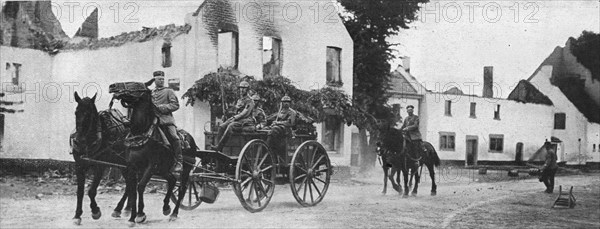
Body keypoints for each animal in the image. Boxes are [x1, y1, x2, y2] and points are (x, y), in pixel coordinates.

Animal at [71, 92, 132, 225]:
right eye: (76, 112)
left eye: (89, 114)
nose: (79, 141)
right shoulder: (79, 166)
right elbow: (80, 192)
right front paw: (77, 215)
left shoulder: (100, 166)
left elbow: (91, 191)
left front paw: (95, 211)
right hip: (123, 165)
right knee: (131, 183)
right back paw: (126, 208)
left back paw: (119, 208)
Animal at [110, 80, 197, 225]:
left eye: (135, 84)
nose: (112, 86)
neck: (140, 132)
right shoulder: (132, 166)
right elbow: (132, 189)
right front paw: (132, 217)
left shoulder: (150, 166)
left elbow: (140, 186)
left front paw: (140, 214)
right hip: (163, 169)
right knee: (172, 180)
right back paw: (166, 207)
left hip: (184, 170)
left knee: (182, 189)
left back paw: (174, 213)